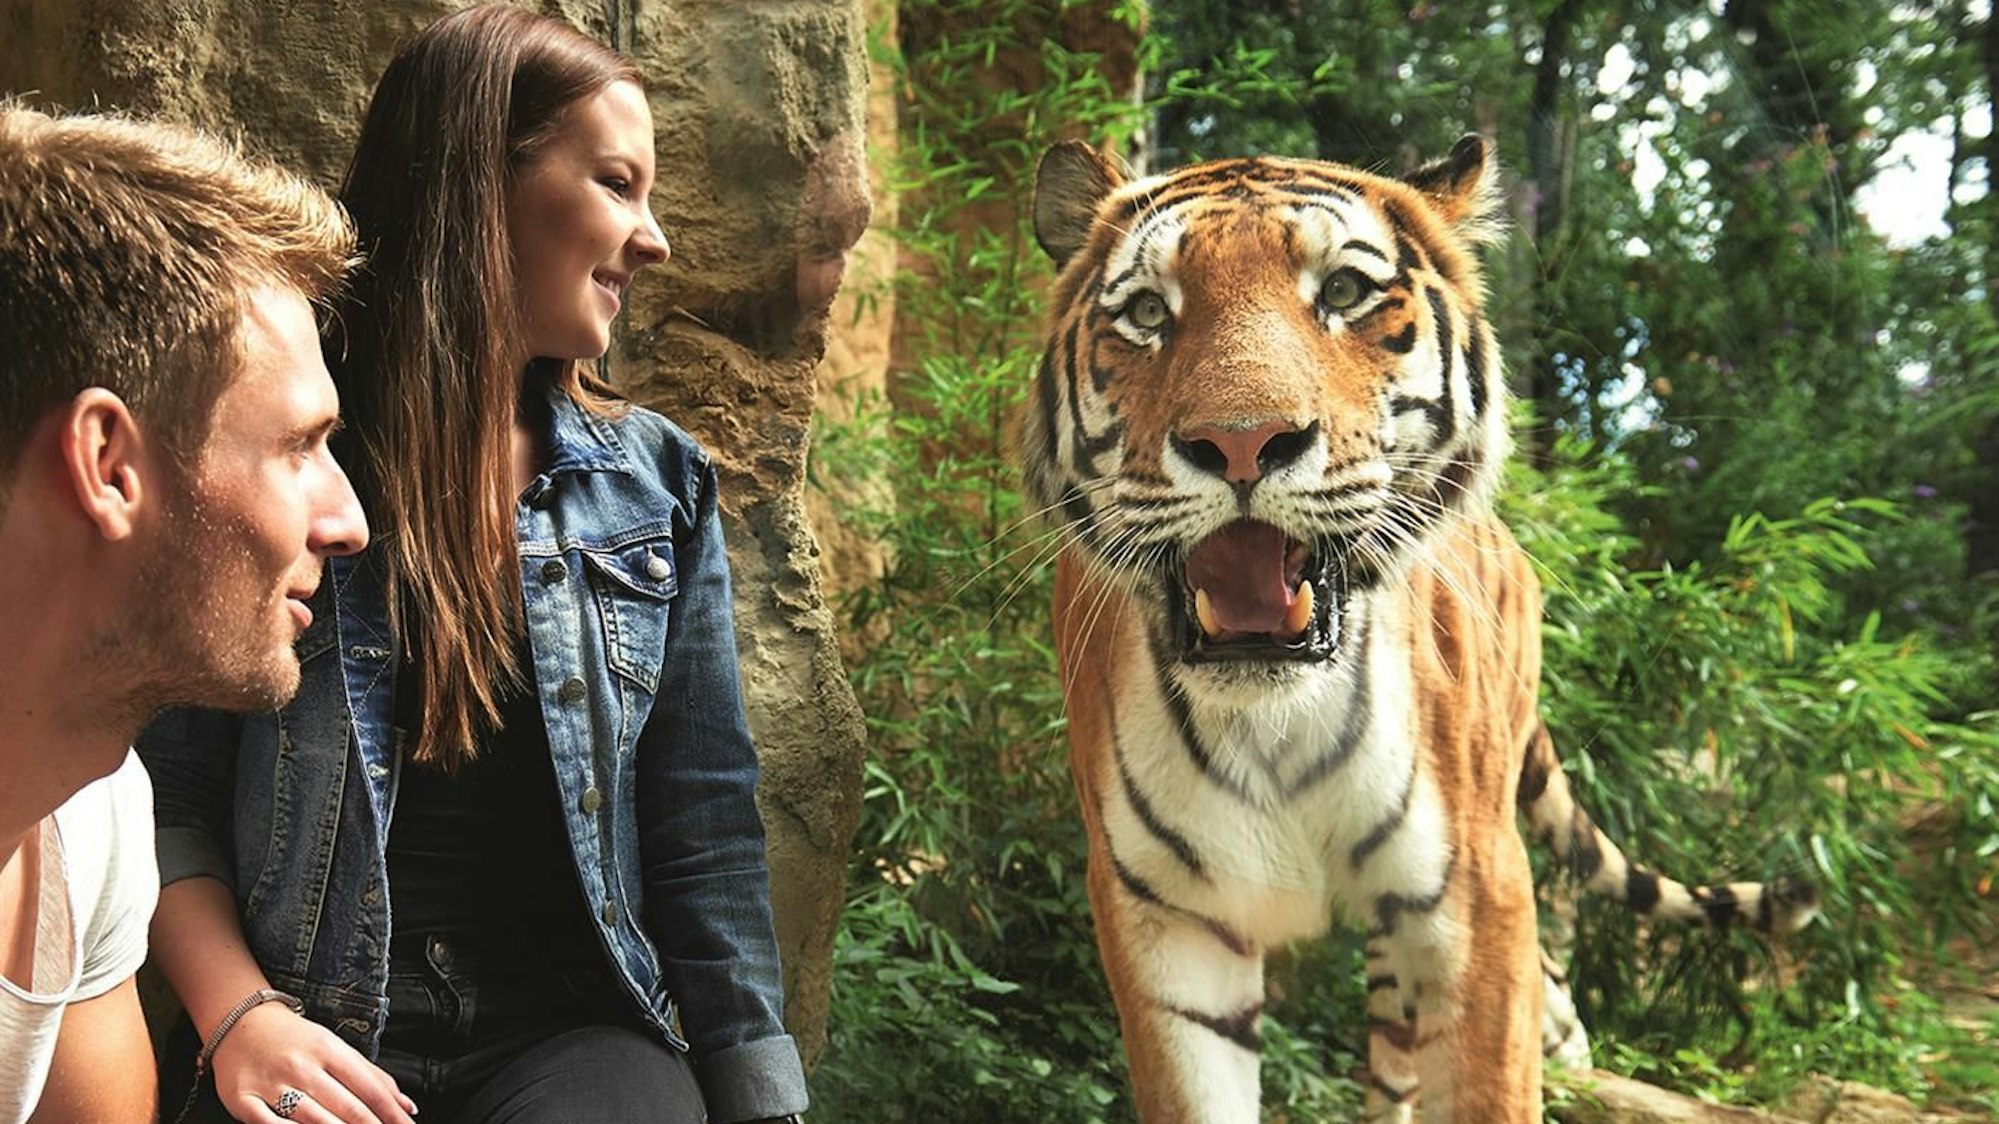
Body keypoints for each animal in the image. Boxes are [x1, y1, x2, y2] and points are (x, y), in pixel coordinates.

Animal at [1019, 135, 1817, 1123]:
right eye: (1144, 312)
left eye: (1343, 291)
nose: (1240, 442)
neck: (1273, 720)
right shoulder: (1164, 916)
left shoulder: (1478, 895)